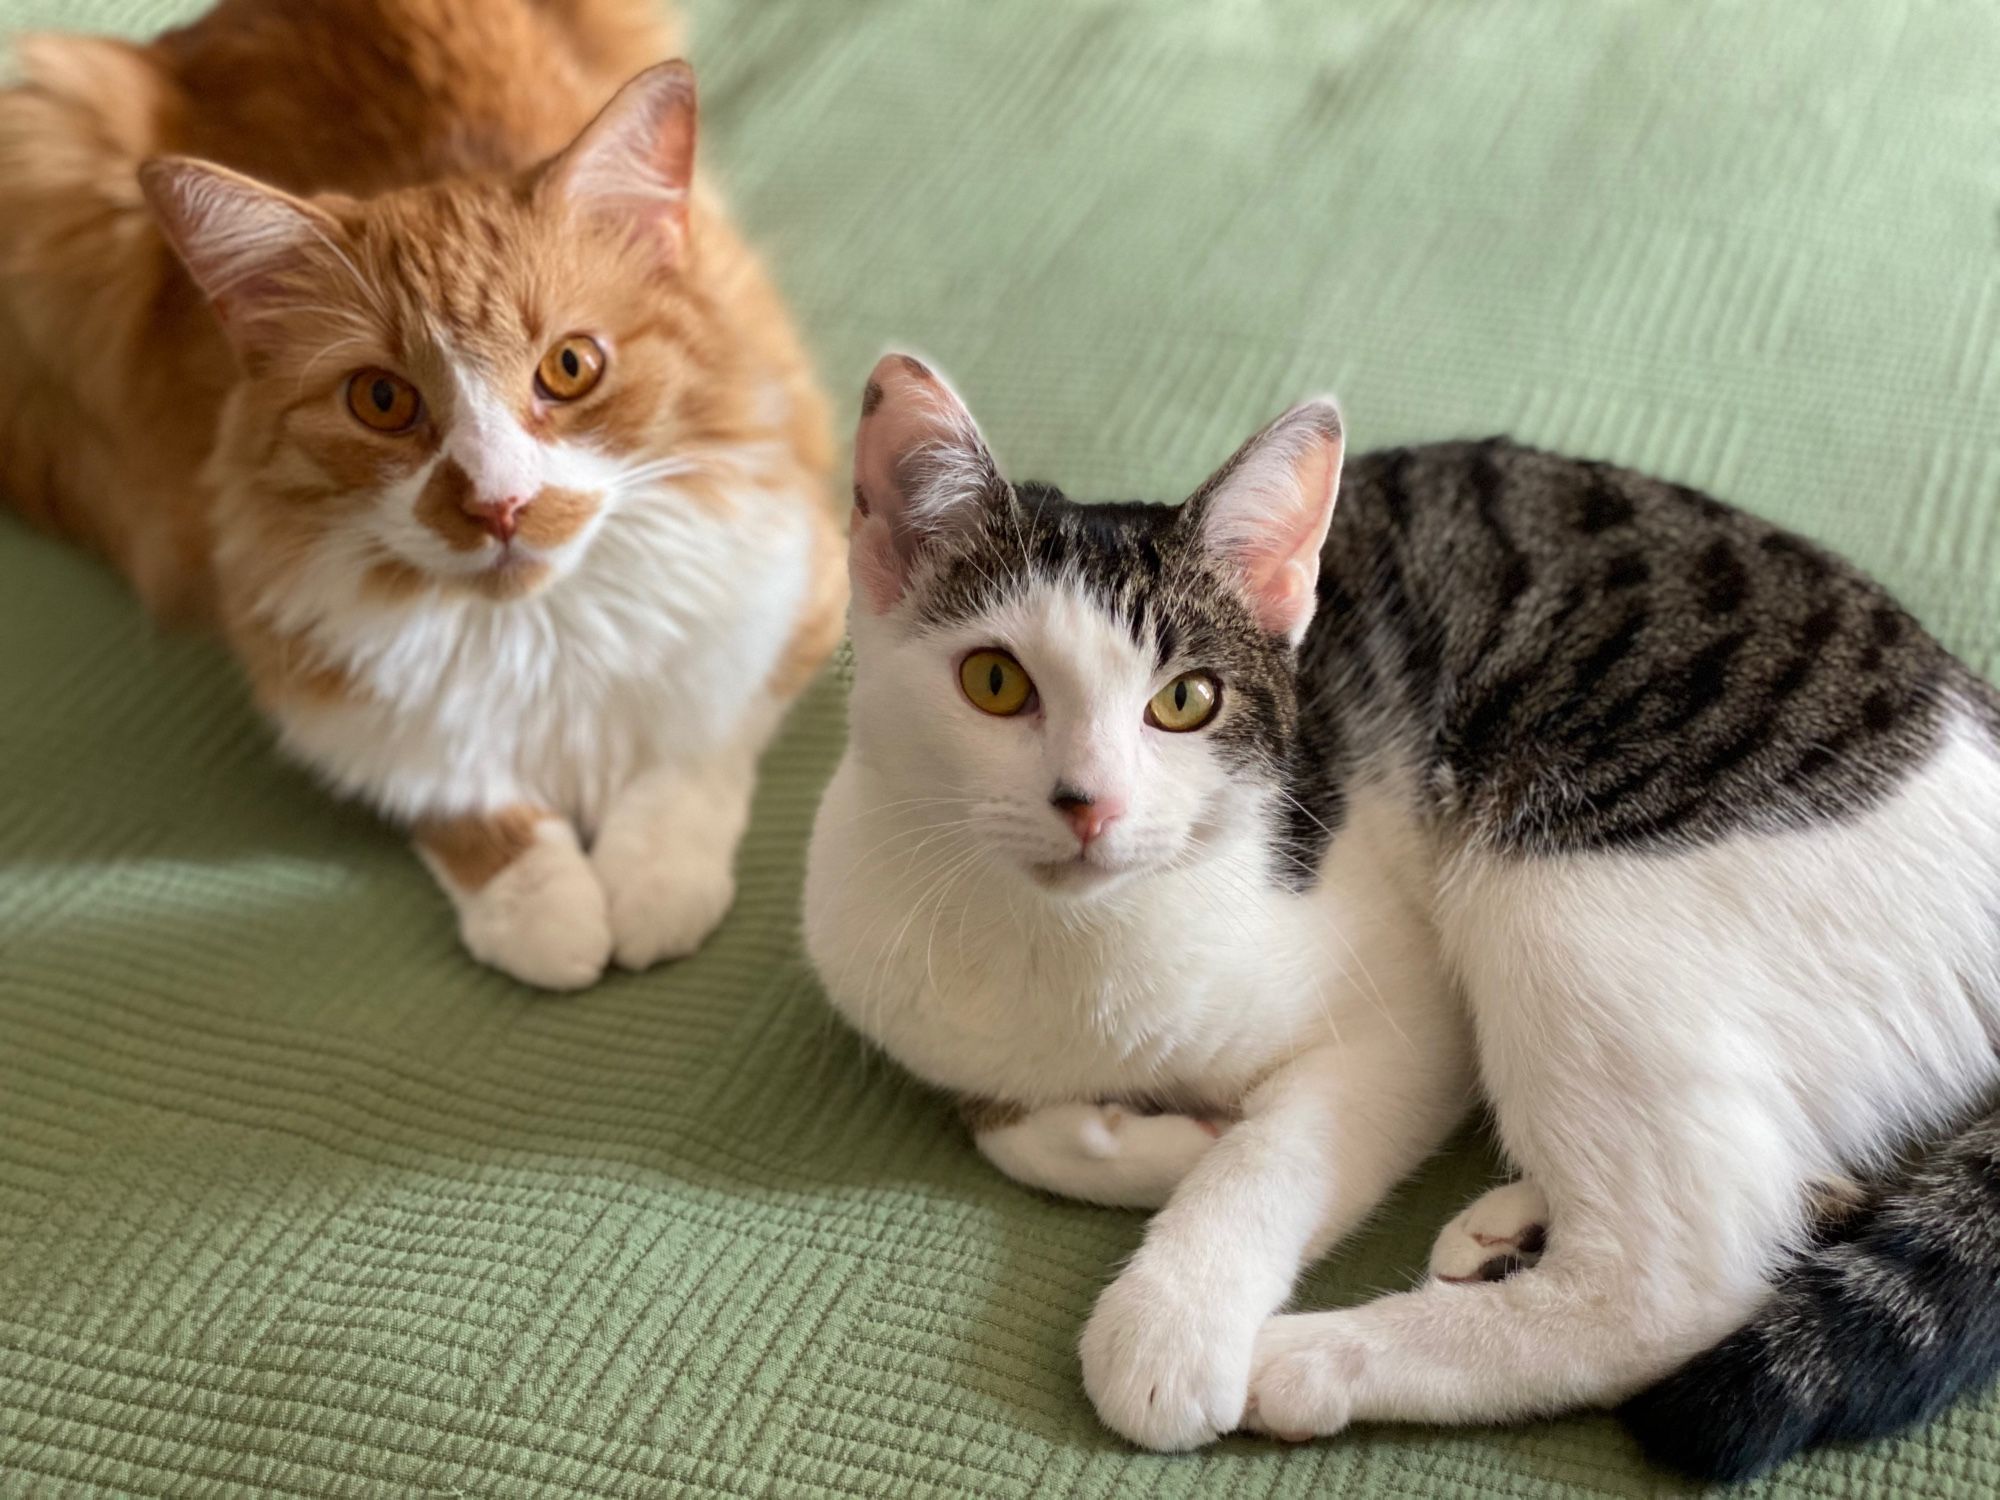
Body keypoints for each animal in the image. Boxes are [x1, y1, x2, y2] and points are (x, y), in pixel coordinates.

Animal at [0, 0, 844, 992]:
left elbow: (694, 745)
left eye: (571, 366)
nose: (498, 504)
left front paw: (651, 879)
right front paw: (540, 905)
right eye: (382, 400)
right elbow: (450, 795)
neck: (540, 638)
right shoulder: (312, 685)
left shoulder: (804, 582)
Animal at [800, 356, 2000, 1480]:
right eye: (995, 683)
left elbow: (1273, 1152)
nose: (1088, 803)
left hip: (1562, 877)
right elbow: (1008, 1131)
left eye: (1184, 701)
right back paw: (1509, 1223)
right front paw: (1158, 1138)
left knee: (1677, 1279)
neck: (1068, 955)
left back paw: (1315, 1360)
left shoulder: (1408, 1018)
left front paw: (1171, 1319)